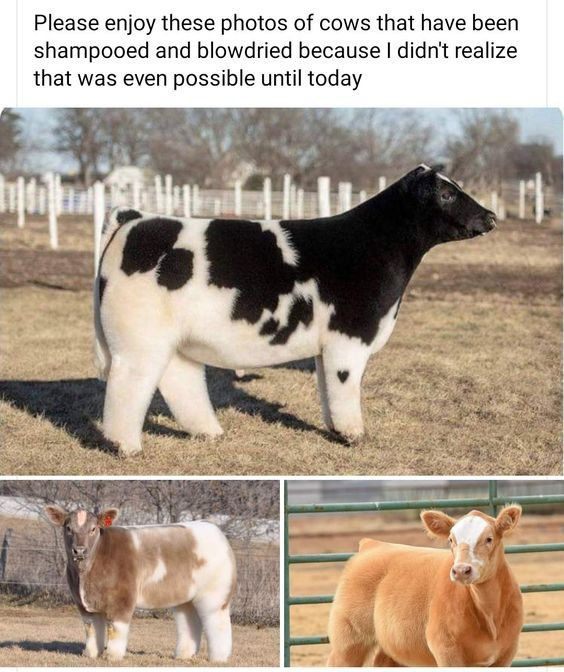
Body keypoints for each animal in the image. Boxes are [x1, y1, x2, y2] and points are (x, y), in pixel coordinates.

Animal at [44, 506, 236, 660]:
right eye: (68, 528)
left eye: (93, 529)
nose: (79, 550)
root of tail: (214, 530)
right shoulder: (83, 605)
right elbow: (91, 630)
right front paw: (91, 655)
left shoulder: (122, 599)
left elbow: (115, 629)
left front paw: (113, 657)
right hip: (186, 598)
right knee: (188, 622)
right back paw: (183, 656)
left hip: (215, 595)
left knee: (217, 624)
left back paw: (218, 658)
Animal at [94, 164, 496, 456]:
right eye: (446, 193)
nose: (491, 216)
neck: (371, 246)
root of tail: (136, 218)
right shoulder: (349, 337)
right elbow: (345, 388)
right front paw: (354, 435)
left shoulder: (327, 346)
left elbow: (327, 389)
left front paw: (335, 430)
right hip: (139, 339)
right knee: (129, 385)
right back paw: (125, 446)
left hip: (174, 341)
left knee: (180, 380)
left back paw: (209, 432)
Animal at [326, 504, 524, 668]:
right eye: (451, 540)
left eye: (489, 539)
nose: (461, 570)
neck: (488, 614)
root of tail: (372, 544)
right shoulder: (446, 650)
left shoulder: (506, 653)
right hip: (348, 640)